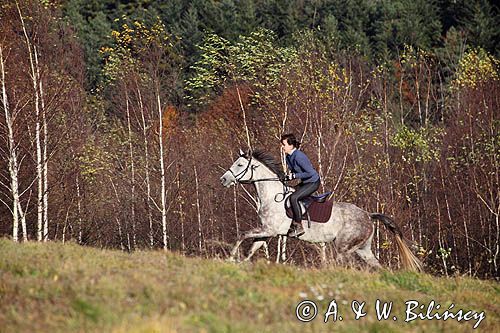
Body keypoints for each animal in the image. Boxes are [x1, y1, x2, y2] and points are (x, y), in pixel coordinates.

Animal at [219, 149, 422, 272]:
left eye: (239, 165)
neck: (271, 195)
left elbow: (242, 235)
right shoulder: (267, 232)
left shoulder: (269, 230)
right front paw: (239, 263)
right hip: (363, 249)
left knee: (346, 264)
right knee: (377, 266)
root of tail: (368, 215)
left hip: (344, 247)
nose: (223, 179)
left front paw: (230, 258)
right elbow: (252, 248)